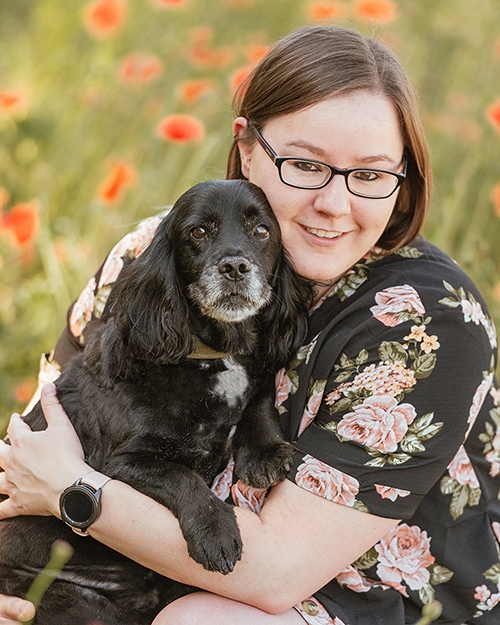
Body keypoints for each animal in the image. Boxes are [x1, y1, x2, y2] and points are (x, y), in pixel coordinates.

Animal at [0, 179, 310, 624]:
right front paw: (216, 532)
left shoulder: (257, 380)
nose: (235, 267)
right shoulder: (120, 462)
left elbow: (259, 401)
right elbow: (183, 478)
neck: (213, 355)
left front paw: (265, 454)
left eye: (262, 230)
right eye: (198, 231)